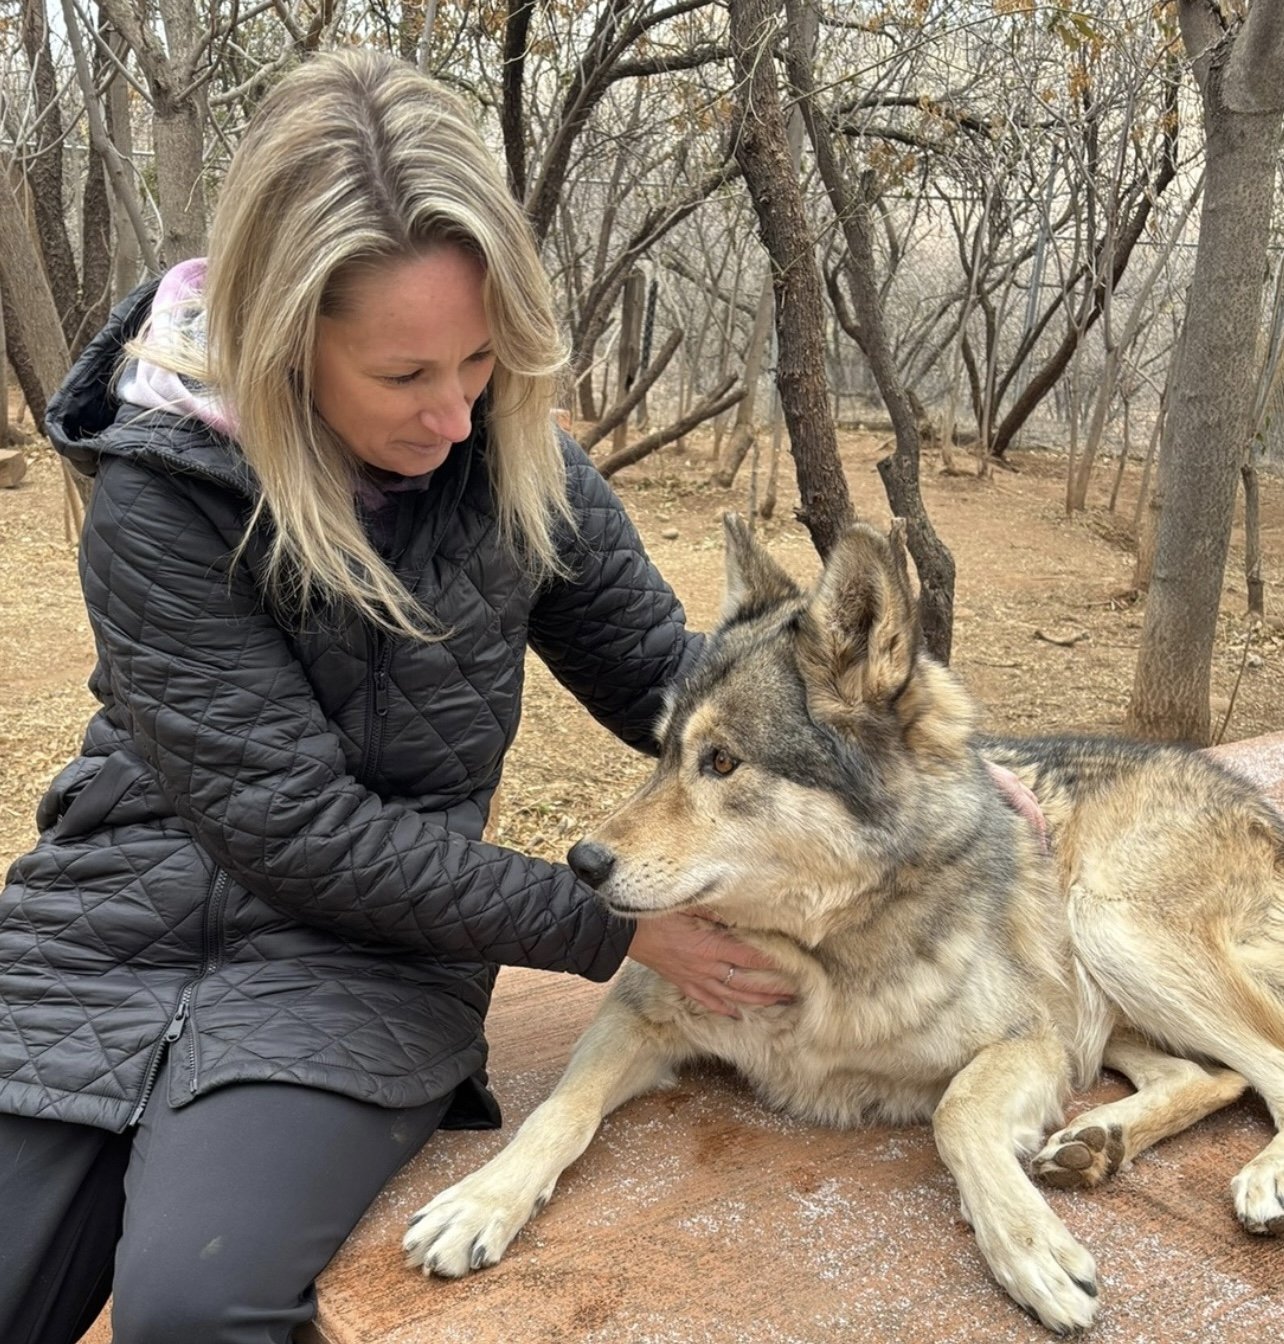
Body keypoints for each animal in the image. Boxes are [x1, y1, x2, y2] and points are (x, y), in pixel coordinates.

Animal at [403, 517, 1284, 1333]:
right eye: (661, 754)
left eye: (721, 762)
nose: (582, 862)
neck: (815, 961)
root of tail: (1246, 792)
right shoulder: (635, 1015)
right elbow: (559, 1110)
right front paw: (480, 1200)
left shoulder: (1029, 1040)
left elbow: (956, 1111)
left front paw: (1029, 1250)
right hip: (1104, 1001)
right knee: (1211, 1075)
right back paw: (1098, 1142)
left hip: (1109, 928)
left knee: (1266, 1061)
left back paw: (1256, 1176)